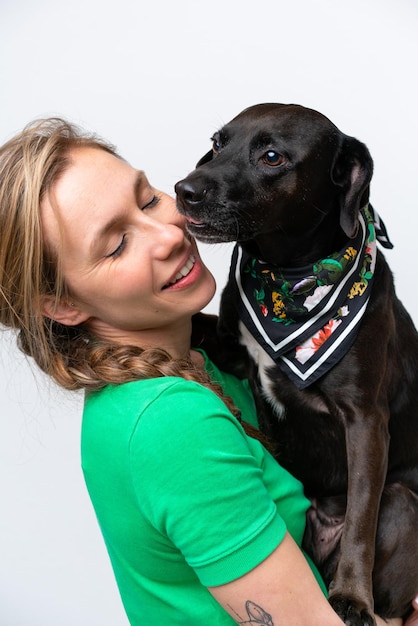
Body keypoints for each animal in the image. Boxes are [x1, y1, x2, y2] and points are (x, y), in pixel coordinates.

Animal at [176, 103, 418, 624]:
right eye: (218, 143)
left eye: (272, 156)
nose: (184, 190)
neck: (287, 276)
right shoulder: (231, 347)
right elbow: (195, 325)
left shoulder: (366, 420)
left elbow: (362, 518)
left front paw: (351, 596)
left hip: (404, 504)